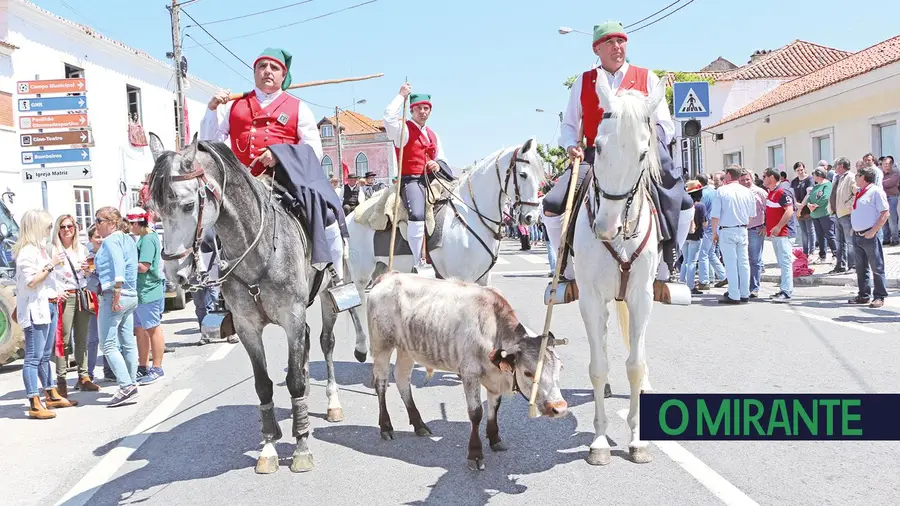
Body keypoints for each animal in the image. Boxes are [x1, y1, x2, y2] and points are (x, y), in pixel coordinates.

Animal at [148, 134, 344, 474]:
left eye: (188, 205)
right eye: (156, 209)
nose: (174, 272)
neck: (258, 248)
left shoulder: (291, 318)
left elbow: (293, 380)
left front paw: (302, 446)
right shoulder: (247, 327)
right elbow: (263, 384)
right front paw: (269, 447)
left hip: (328, 296)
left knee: (326, 343)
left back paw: (332, 402)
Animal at [344, 138, 544, 362]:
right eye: (523, 174)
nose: (531, 217)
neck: (470, 217)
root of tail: (350, 217)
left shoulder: (483, 279)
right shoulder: (463, 278)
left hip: (380, 268)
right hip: (361, 273)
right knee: (357, 306)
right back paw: (361, 348)